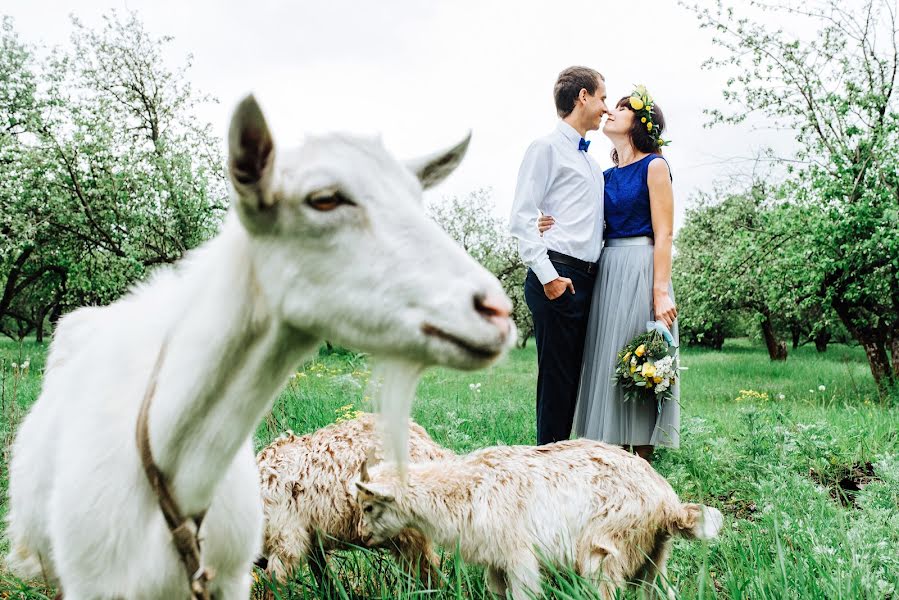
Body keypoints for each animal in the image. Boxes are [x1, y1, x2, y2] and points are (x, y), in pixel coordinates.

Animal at [255, 412, 450, 584]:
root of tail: (430, 447)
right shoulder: (312, 541)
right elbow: (324, 579)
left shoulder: (286, 538)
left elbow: (274, 585)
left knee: (426, 569)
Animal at [354, 438, 724, 596]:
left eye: (370, 506)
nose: (362, 536)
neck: (467, 488)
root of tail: (668, 504)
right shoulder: (496, 561)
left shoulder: (519, 556)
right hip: (654, 556)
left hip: (604, 552)